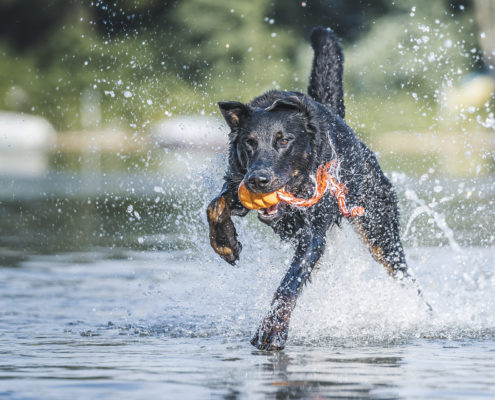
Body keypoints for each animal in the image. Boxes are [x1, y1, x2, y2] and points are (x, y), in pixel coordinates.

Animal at [209, 26, 422, 350]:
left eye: (283, 140)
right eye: (249, 142)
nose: (258, 180)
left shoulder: (312, 234)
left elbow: (289, 283)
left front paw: (272, 329)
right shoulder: (236, 182)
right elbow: (215, 206)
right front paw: (225, 242)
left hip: (379, 232)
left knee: (406, 277)